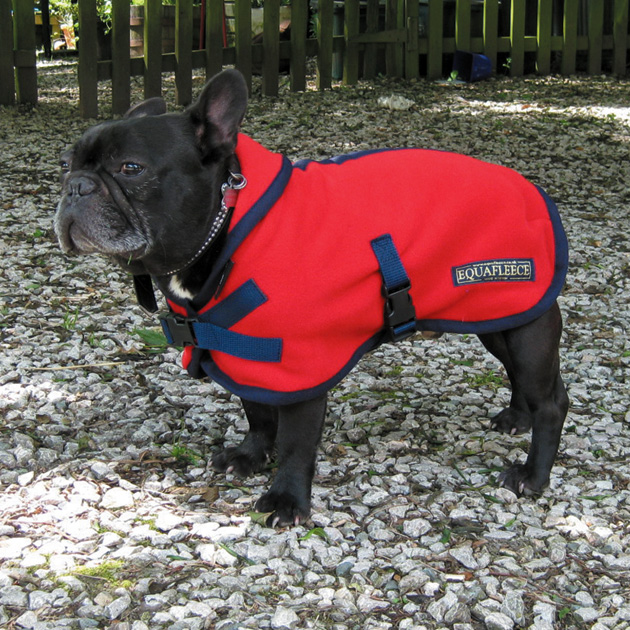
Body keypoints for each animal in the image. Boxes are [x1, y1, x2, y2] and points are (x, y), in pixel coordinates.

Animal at [55, 69, 572, 528]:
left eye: (131, 168)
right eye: (67, 165)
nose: (76, 186)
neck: (228, 227)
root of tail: (529, 189)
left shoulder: (300, 366)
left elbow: (295, 441)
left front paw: (286, 500)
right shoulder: (248, 352)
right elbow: (257, 413)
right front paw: (249, 456)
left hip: (522, 324)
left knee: (549, 401)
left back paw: (533, 475)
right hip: (499, 317)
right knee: (536, 382)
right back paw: (517, 418)